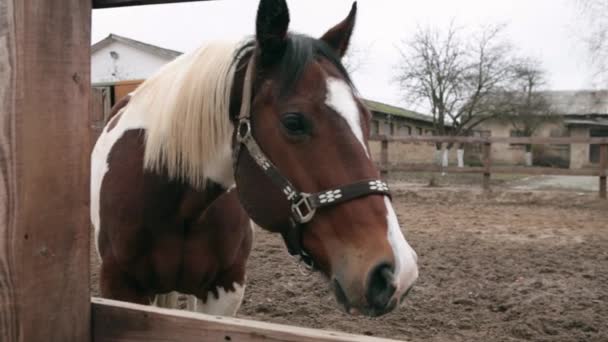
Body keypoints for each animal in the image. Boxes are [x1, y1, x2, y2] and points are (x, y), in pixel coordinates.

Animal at [91, 0, 418, 318]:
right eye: (293, 122)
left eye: (367, 119)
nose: (396, 271)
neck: (179, 206)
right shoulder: (119, 286)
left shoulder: (226, 288)